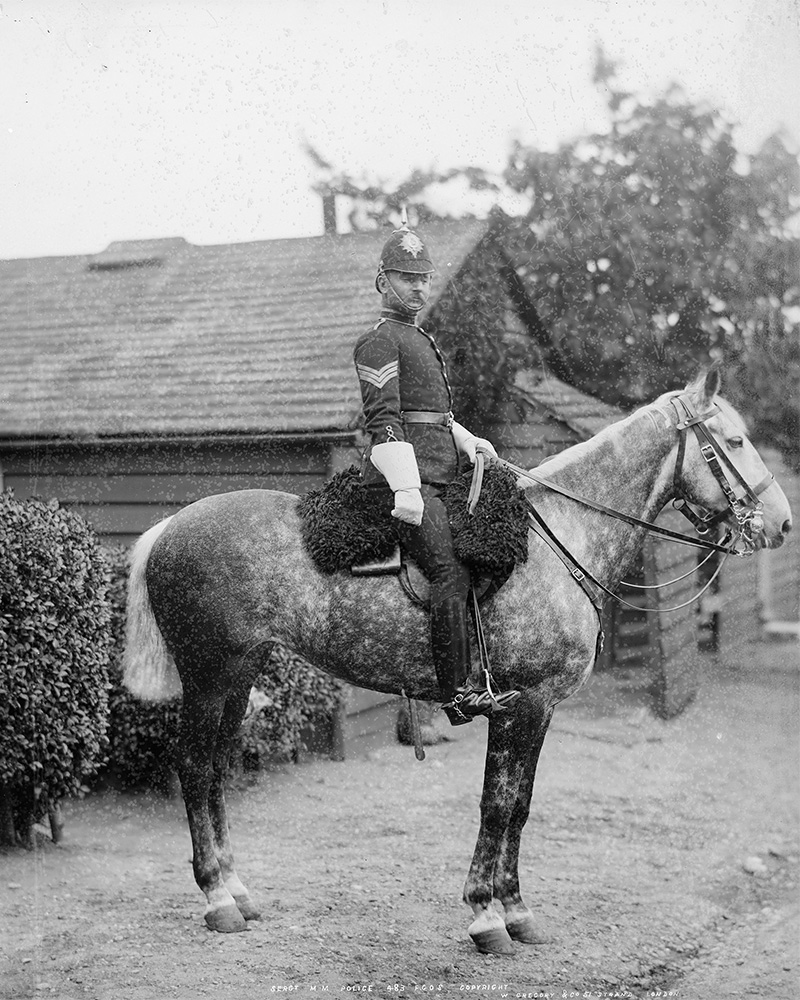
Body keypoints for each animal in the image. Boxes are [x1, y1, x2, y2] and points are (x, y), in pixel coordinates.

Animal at [122, 368, 792, 952]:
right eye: (733, 440)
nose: (782, 523)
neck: (558, 539)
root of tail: (171, 525)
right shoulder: (521, 706)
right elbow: (498, 805)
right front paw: (485, 915)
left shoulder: (539, 710)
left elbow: (519, 807)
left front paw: (516, 910)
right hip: (209, 677)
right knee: (194, 768)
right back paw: (216, 900)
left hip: (239, 677)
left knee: (215, 771)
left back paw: (236, 888)